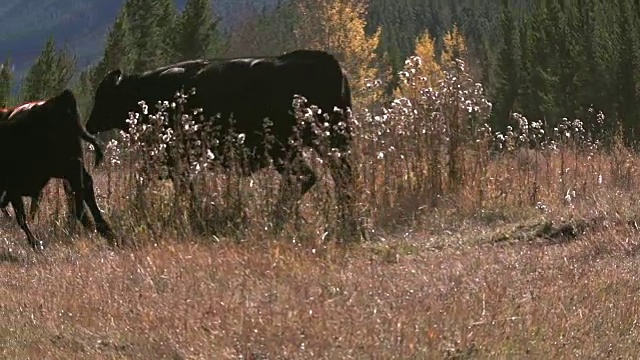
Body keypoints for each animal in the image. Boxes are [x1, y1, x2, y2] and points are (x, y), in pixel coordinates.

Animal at [0, 89, 114, 250]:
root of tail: (59, 100)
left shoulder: (12, 188)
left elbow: (21, 218)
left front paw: (35, 243)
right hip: (68, 168)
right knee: (84, 188)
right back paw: (104, 230)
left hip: (64, 166)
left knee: (80, 191)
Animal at [85, 47, 364, 239]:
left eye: (104, 96)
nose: (89, 123)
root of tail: (331, 65)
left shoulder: (175, 159)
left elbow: (179, 187)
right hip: (322, 147)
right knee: (333, 179)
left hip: (288, 150)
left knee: (309, 178)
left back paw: (279, 219)